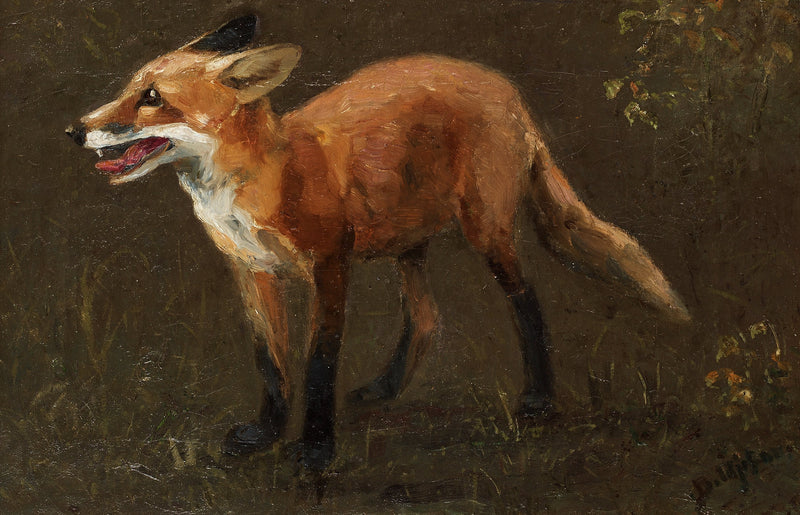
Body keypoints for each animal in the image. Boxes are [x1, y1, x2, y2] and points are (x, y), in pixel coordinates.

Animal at [66, 15, 689, 469]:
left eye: (152, 97)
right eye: (129, 89)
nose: (74, 130)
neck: (262, 179)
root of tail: (504, 87)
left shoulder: (329, 268)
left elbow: (318, 364)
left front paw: (315, 450)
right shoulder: (253, 272)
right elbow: (271, 364)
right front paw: (266, 433)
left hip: (485, 233)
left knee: (526, 300)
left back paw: (538, 401)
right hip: (403, 243)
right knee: (428, 318)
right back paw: (386, 388)